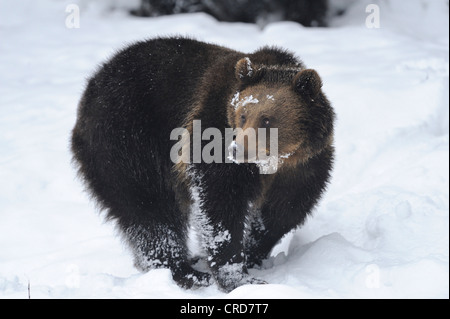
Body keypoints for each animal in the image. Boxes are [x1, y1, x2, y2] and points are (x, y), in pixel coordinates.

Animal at [71, 37, 334, 292]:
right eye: (242, 115)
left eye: (267, 119)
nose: (237, 149)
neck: (273, 161)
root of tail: (92, 85)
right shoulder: (211, 133)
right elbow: (219, 204)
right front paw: (237, 277)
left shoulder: (304, 166)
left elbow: (283, 211)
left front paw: (251, 254)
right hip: (126, 140)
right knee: (149, 209)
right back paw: (184, 272)